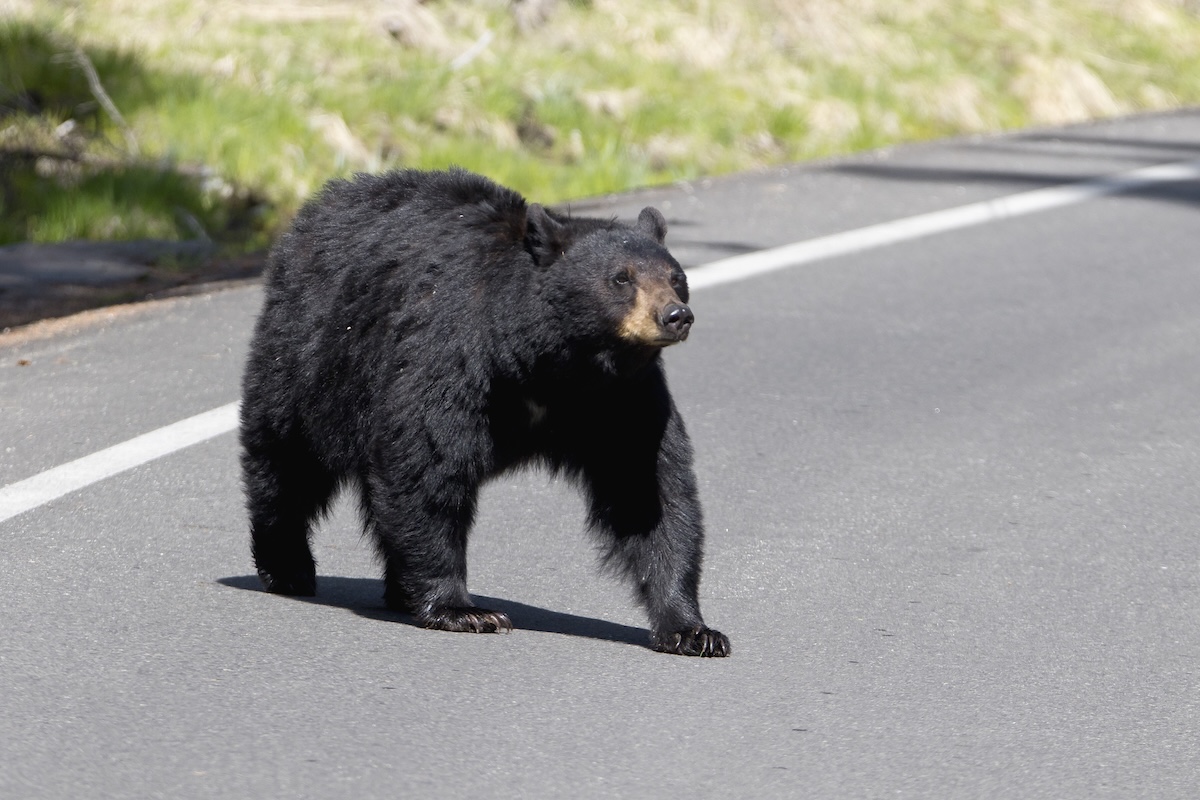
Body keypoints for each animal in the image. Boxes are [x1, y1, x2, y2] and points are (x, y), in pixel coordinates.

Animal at [239, 167, 729, 657]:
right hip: (314, 353)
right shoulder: (453, 350)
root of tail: (320, 206)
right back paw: (286, 566)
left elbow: (646, 487)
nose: (675, 315)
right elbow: (427, 461)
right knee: (288, 459)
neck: (550, 365)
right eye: (621, 278)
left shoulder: (620, 396)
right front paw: (463, 610)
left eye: (675, 276)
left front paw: (692, 629)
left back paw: (396, 588)